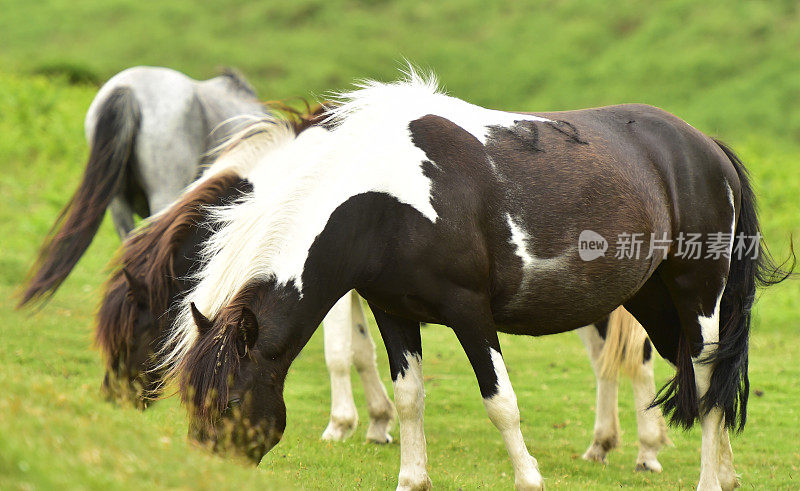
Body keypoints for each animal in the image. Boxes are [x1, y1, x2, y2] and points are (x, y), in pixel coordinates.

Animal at [166, 71, 792, 490]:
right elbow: (410, 398)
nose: (202, 475)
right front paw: (412, 478)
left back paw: (707, 480)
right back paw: (724, 475)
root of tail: (707, 148)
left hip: (697, 295)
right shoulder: (394, 313)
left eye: (227, 403)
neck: (385, 201)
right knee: (703, 378)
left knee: (707, 377)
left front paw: (529, 479)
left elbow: (500, 402)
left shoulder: (471, 313)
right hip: (653, 303)